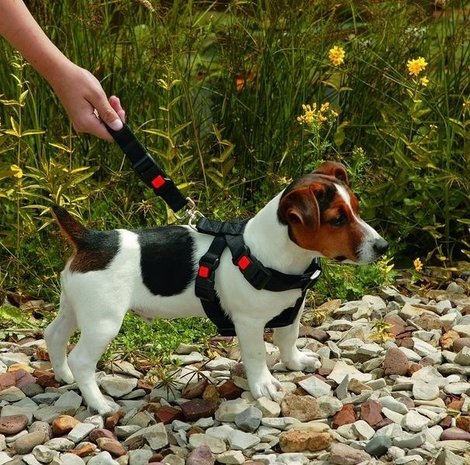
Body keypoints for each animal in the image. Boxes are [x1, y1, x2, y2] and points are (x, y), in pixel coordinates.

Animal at [46, 160, 388, 414]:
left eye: (356, 209)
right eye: (337, 219)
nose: (382, 247)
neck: (270, 252)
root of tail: (91, 240)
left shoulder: (293, 309)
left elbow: (287, 339)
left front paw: (294, 363)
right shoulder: (249, 323)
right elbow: (256, 353)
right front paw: (263, 384)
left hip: (75, 308)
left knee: (54, 335)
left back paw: (63, 375)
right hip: (103, 321)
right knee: (81, 359)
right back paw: (99, 403)